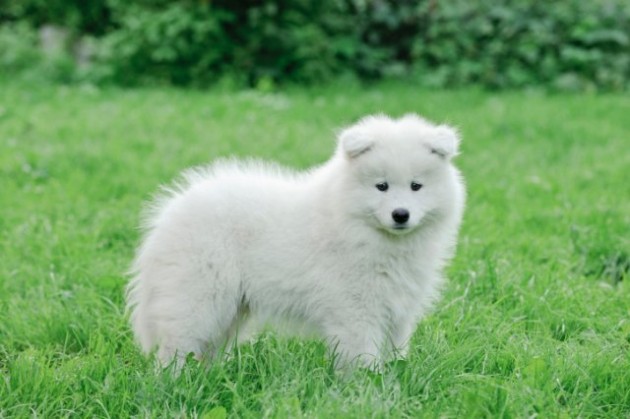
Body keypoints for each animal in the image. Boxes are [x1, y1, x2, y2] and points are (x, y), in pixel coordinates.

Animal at [126, 113, 466, 370]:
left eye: (416, 186)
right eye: (381, 186)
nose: (400, 214)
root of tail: (168, 215)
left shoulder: (398, 307)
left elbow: (395, 348)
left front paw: (396, 374)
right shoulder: (355, 309)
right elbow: (363, 355)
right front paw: (368, 387)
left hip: (231, 308)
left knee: (208, 346)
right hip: (199, 294)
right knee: (176, 344)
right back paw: (172, 383)